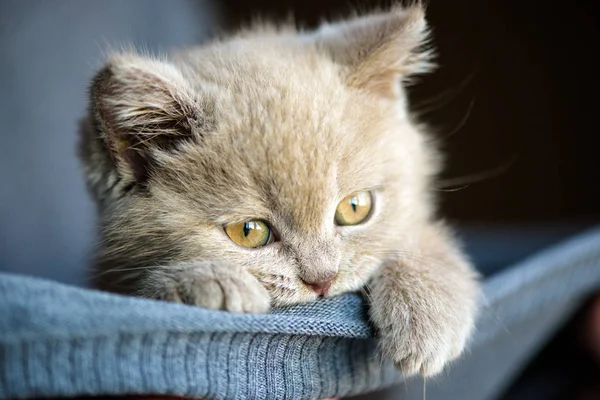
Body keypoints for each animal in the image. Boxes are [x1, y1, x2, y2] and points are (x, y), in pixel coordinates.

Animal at [79, 4, 480, 376]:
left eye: (355, 207)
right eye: (249, 231)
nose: (323, 279)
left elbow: (414, 235)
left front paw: (427, 310)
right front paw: (210, 282)